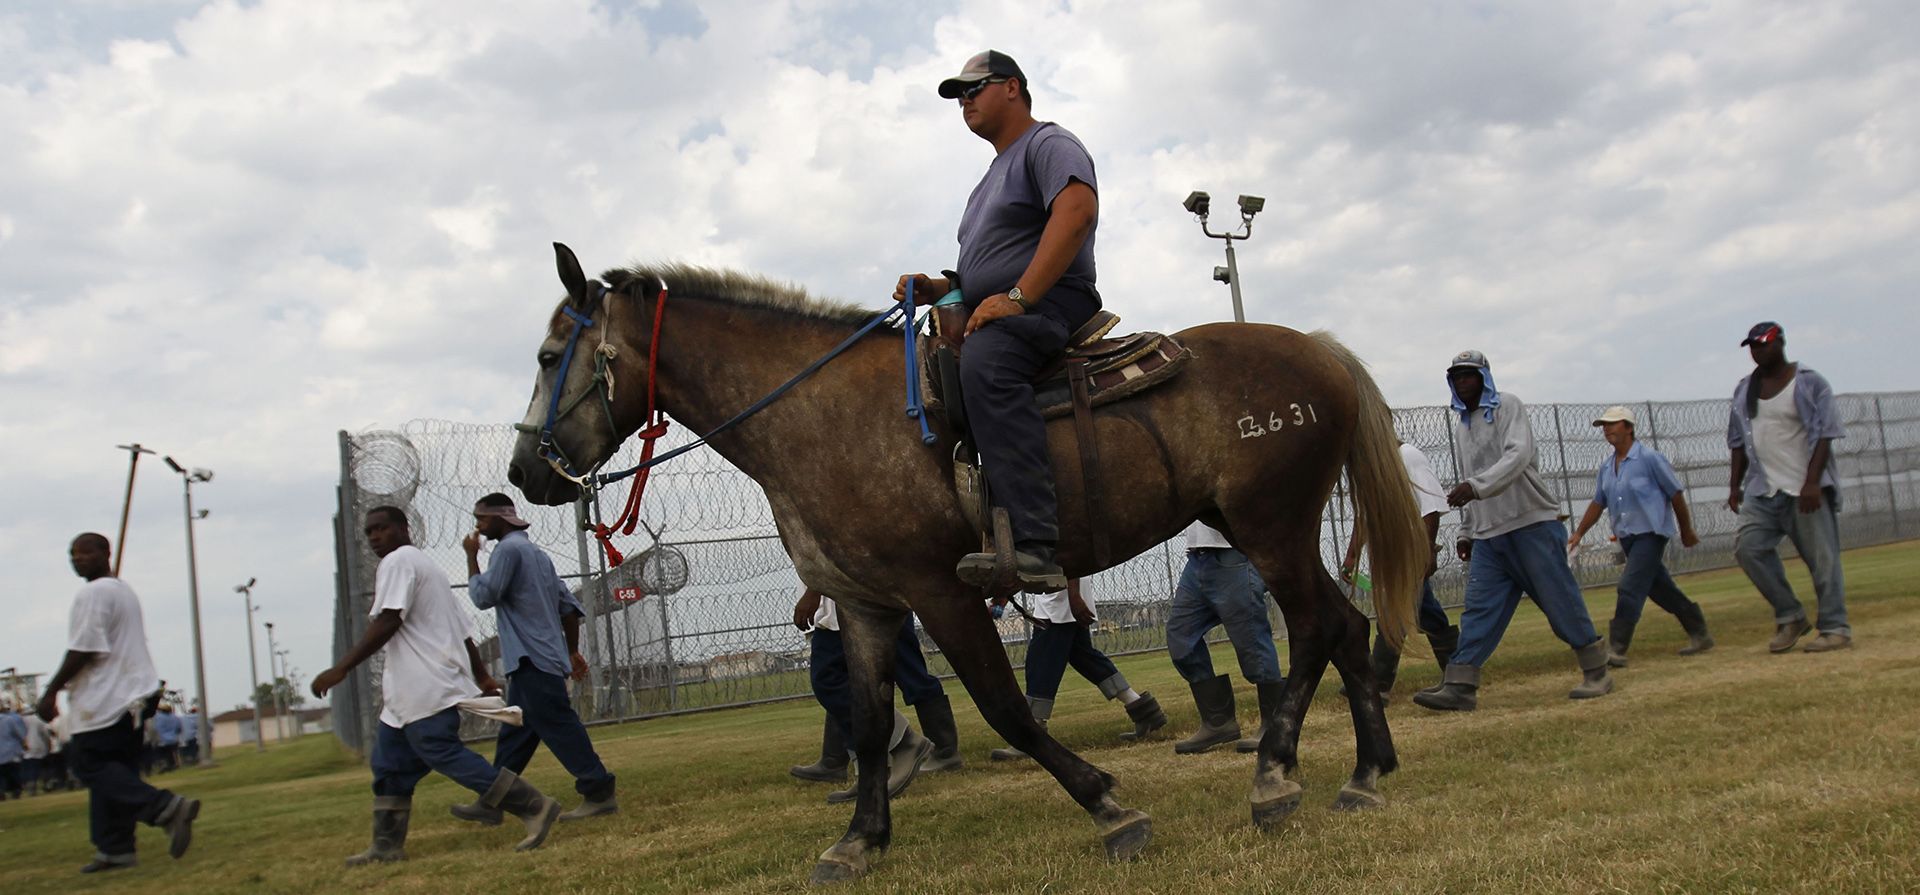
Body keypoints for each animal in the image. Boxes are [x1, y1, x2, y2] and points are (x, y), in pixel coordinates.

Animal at [508, 243, 1427, 884]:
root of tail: (1318, 352)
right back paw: (1365, 772)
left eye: (551, 357)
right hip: (1275, 529)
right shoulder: (867, 605)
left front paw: (1108, 805)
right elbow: (869, 724)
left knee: (1316, 627)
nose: (523, 472)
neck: (818, 414)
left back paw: (1275, 773)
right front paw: (859, 838)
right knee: (1346, 626)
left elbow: (1008, 707)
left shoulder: (941, 592)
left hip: (1270, 527)